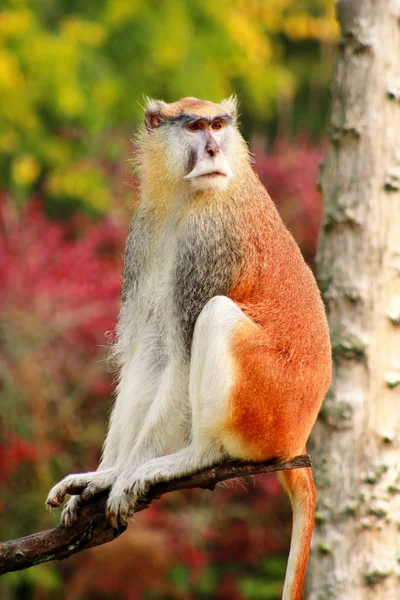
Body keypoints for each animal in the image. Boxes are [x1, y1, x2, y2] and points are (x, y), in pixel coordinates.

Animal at [47, 96, 332, 596]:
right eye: (196, 127)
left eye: (219, 125)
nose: (214, 149)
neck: (185, 198)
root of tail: (296, 437)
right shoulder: (146, 233)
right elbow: (151, 351)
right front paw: (101, 476)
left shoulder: (209, 240)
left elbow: (180, 359)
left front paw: (124, 476)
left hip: (264, 408)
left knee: (215, 315)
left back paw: (196, 456)